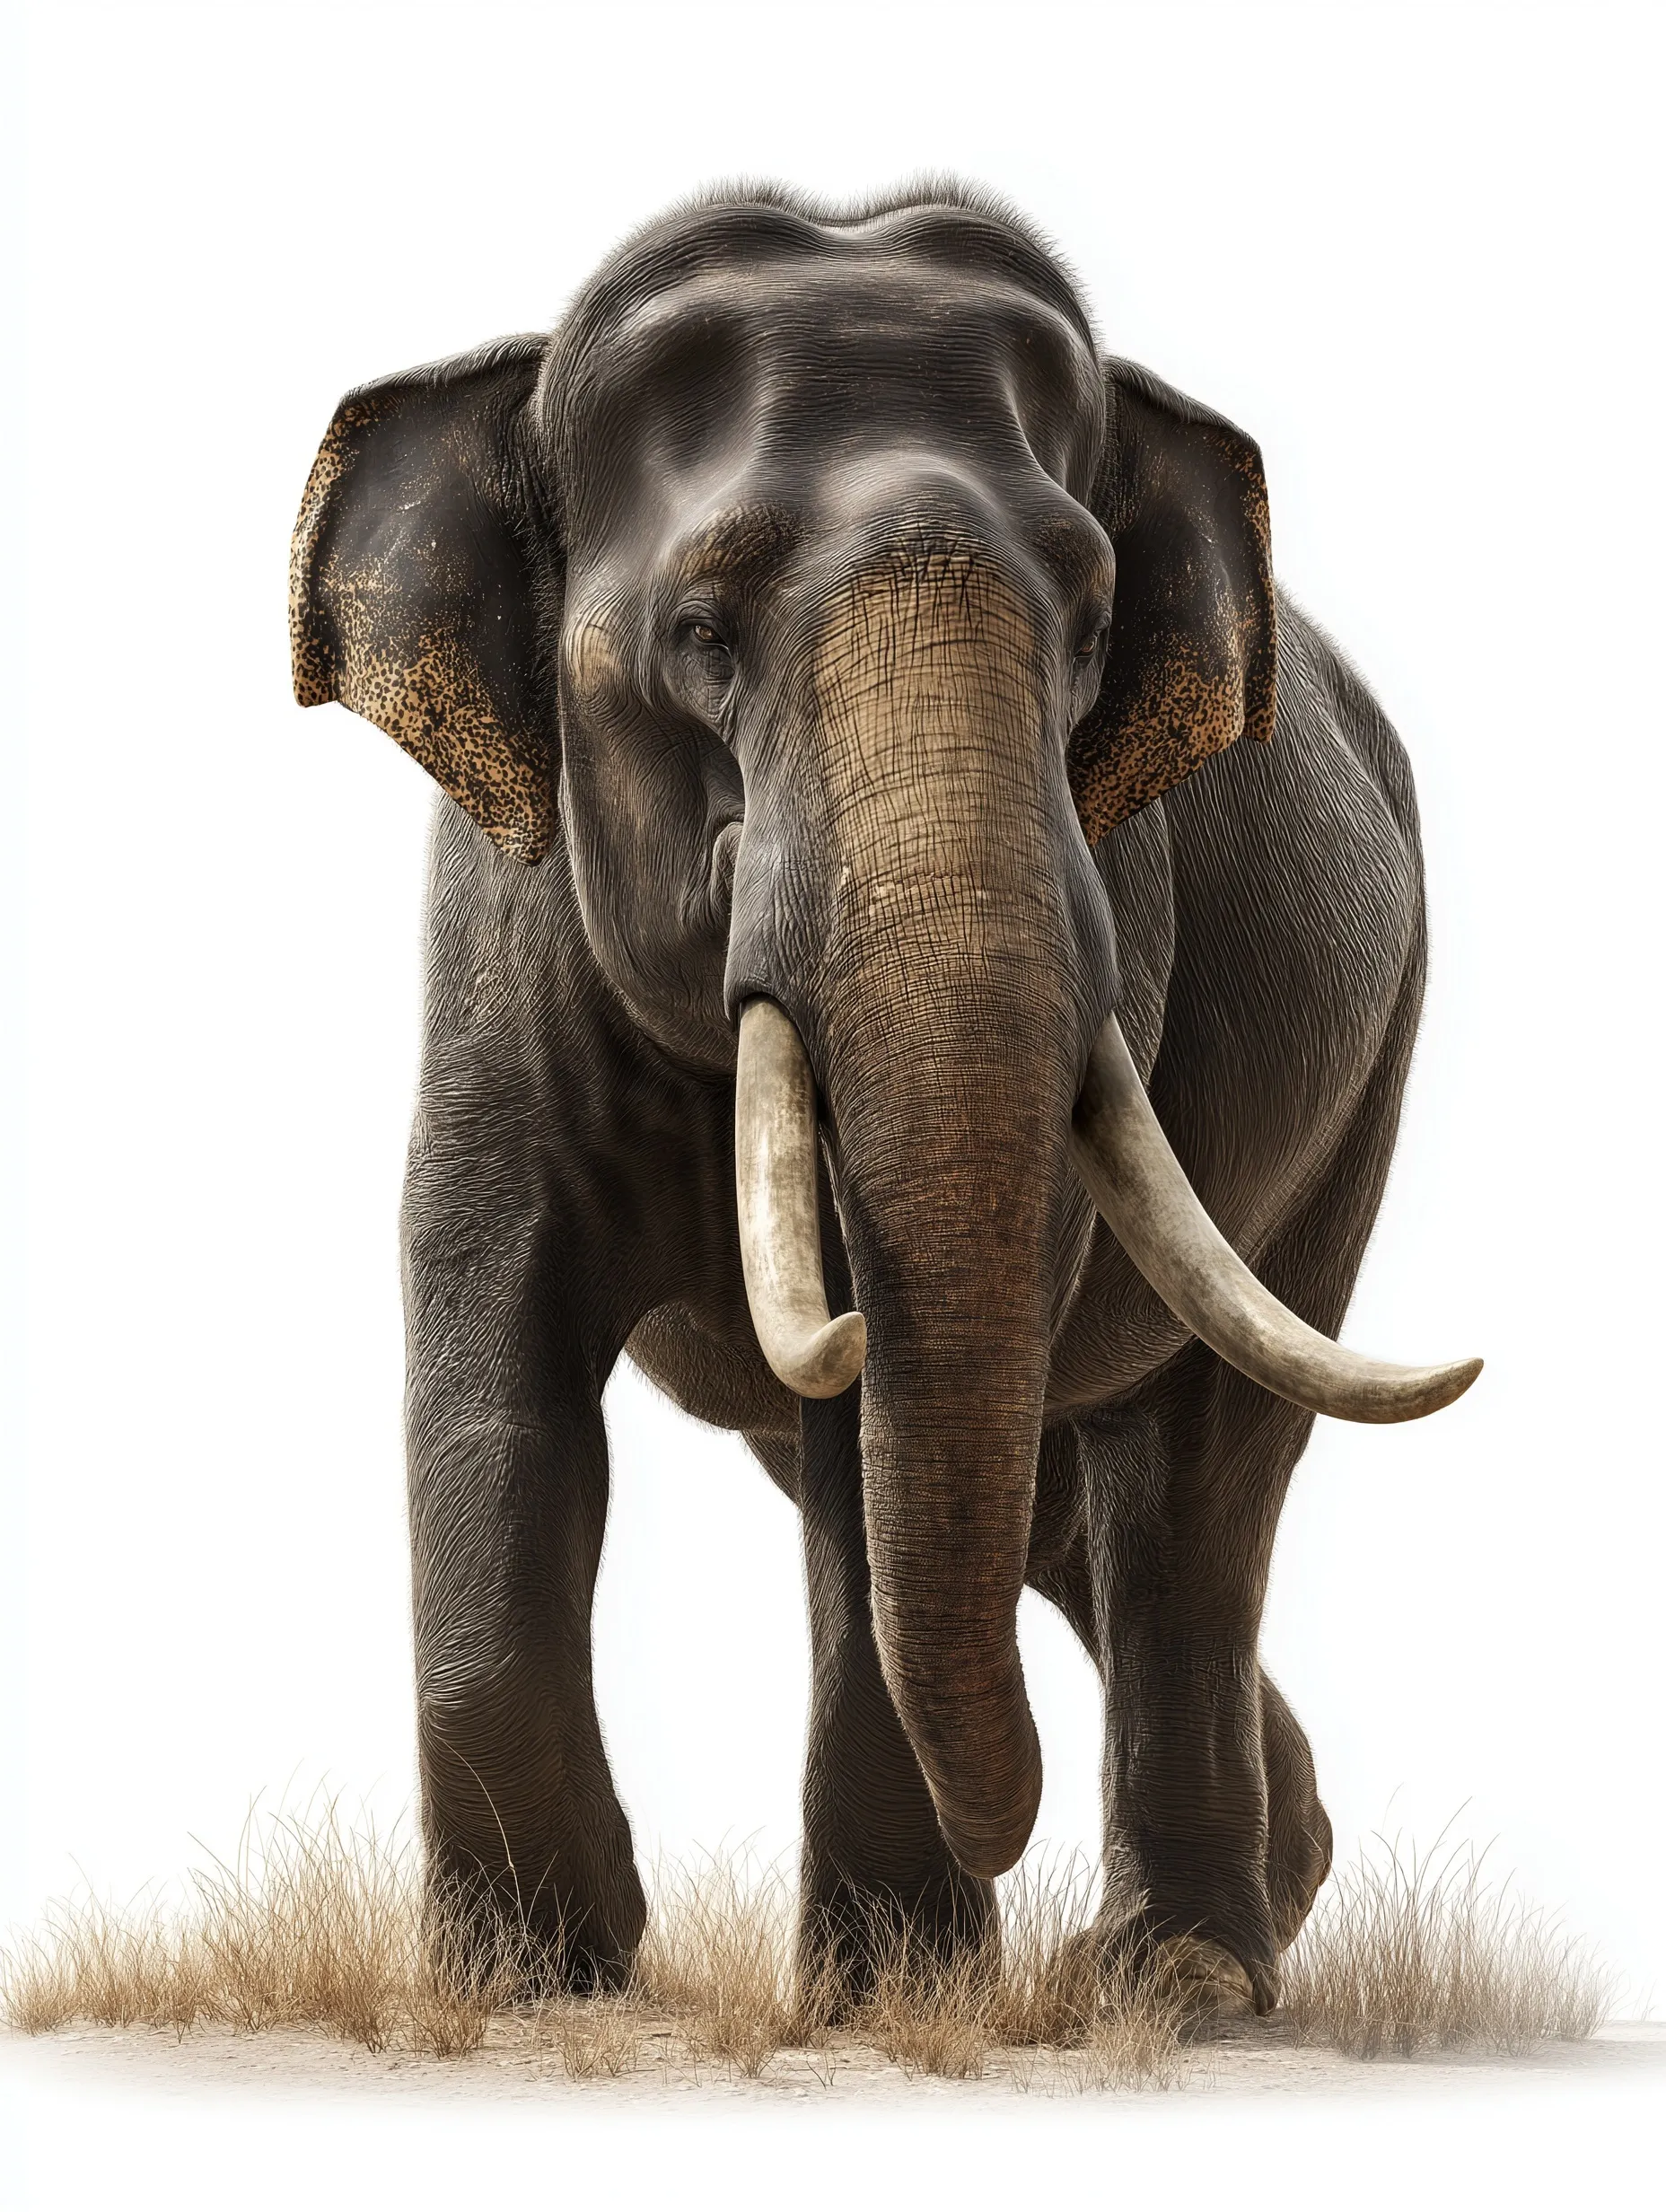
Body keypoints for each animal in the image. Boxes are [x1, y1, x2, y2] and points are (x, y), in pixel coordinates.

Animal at [289, 183, 1479, 2020]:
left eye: (1091, 634)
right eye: (701, 636)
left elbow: (894, 1418)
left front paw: (891, 2001)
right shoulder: (498, 932)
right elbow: (497, 1336)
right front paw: (532, 1988)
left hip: (1371, 1067)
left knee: (1193, 1484)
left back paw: (1185, 1974)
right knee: (1055, 1504)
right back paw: (1265, 1886)